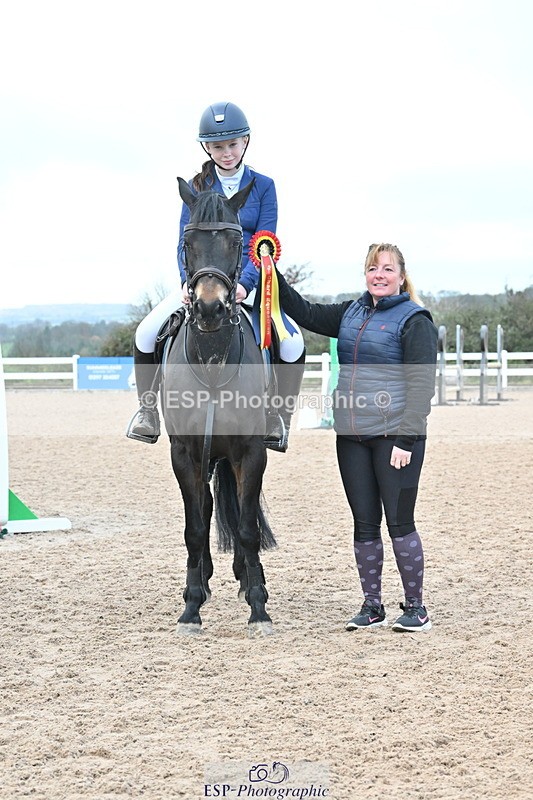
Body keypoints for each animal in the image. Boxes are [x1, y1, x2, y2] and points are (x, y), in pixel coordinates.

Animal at [160, 177, 277, 637]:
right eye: (187, 241)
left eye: (236, 240)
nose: (209, 308)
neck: (212, 358)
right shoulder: (184, 453)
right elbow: (194, 528)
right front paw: (191, 608)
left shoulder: (251, 451)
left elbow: (246, 527)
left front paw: (258, 607)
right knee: (207, 508)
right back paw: (202, 583)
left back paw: (246, 581)